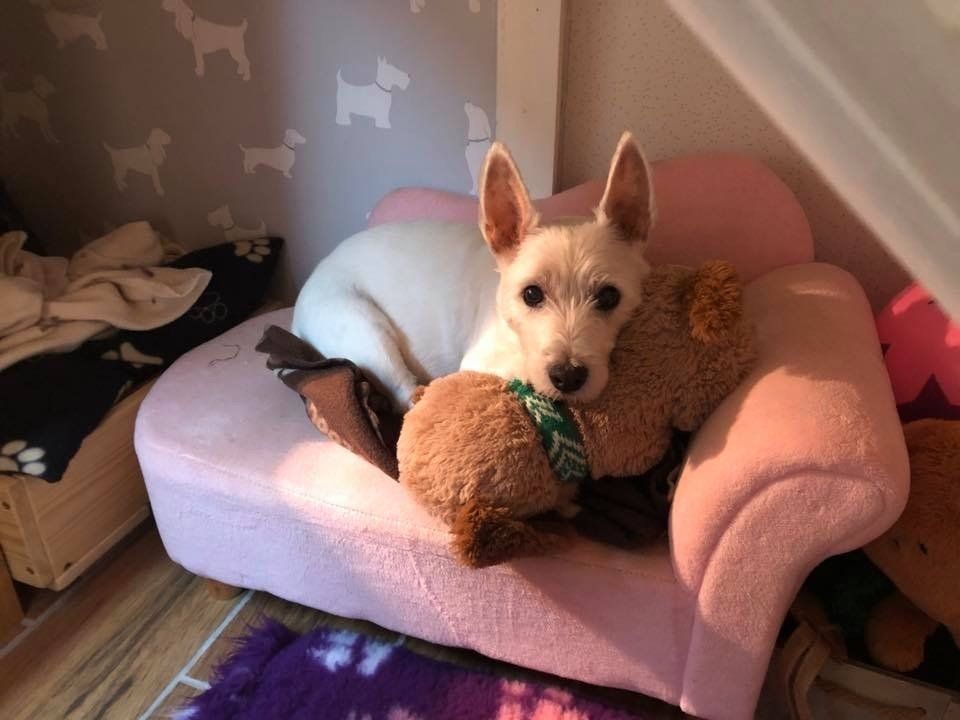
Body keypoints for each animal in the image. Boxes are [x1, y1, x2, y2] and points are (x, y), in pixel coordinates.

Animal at [293, 131, 655, 412]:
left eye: (609, 296)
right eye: (531, 294)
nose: (567, 377)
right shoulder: (480, 360)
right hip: (364, 330)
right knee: (404, 392)